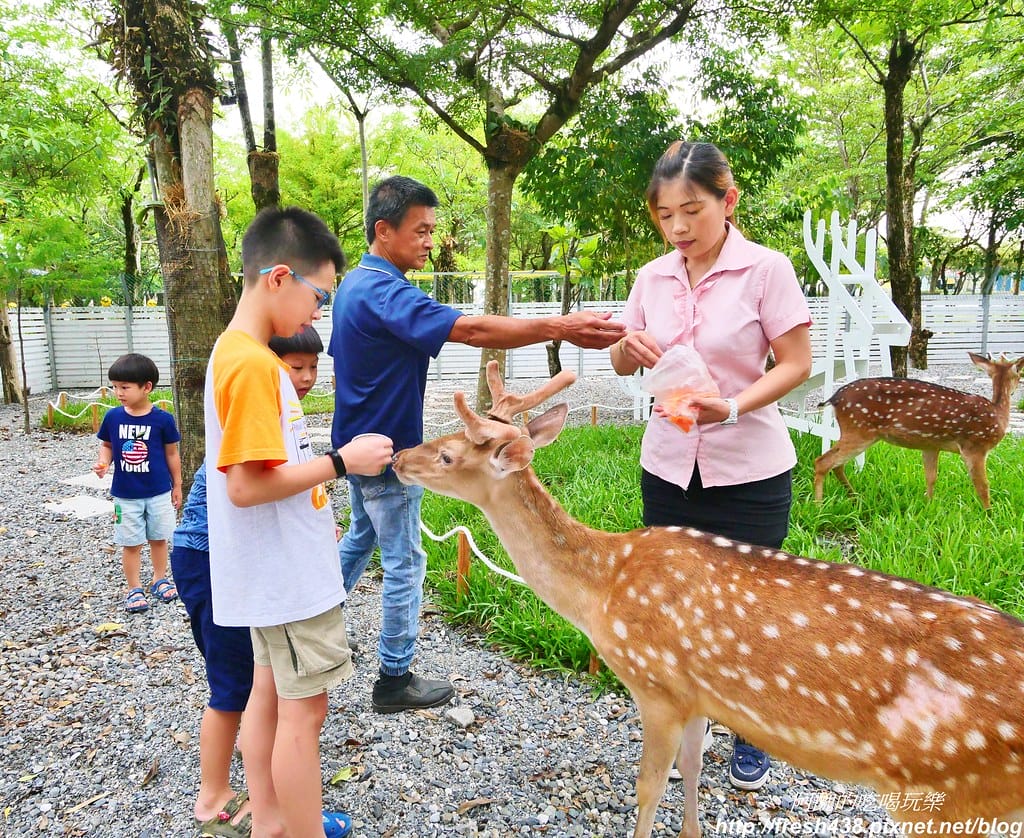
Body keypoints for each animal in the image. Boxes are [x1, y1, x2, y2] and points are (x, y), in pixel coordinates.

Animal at [814, 352, 1024, 508]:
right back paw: (819, 506)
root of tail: (834, 398)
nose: (1017, 387)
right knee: (823, 461)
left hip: (857, 432)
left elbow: (931, 478)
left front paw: (928, 505)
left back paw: (854, 496)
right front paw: (988, 513)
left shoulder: (931, 445)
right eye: (1020, 375)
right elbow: (983, 486)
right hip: (859, 430)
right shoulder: (975, 446)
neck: (998, 412)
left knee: (836, 464)